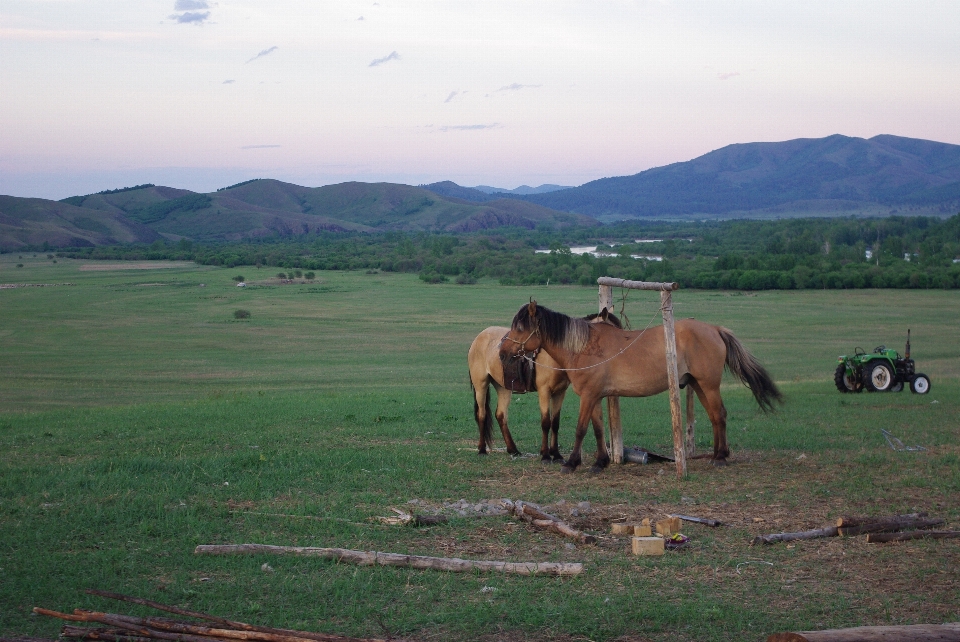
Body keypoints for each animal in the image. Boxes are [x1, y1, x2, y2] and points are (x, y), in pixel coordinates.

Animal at [466, 312, 624, 458]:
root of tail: (480, 337)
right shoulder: (544, 391)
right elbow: (546, 422)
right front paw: (545, 454)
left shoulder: (560, 392)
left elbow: (555, 423)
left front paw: (556, 453)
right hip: (481, 385)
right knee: (482, 414)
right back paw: (482, 449)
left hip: (503, 387)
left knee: (501, 415)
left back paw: (513, 449)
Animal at [498, 300, 784, 470]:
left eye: (521, 327)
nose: (501, 352)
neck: (584, 346)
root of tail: (714, 329)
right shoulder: (596, 396)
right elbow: (598, 429)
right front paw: (601, 461)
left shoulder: (588, 396)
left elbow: (581, 429)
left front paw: (571, 463)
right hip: (700, 386)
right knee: (716, 416)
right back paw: (716, 455)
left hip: (709, 385)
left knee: (720, 415)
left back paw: (721, 457)